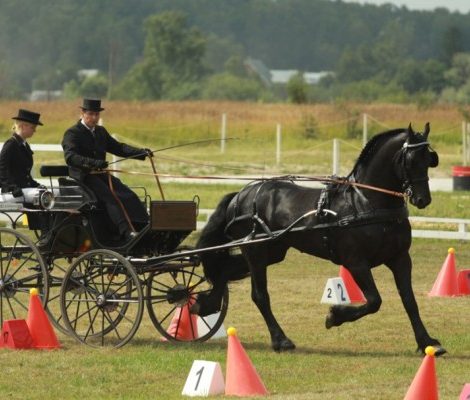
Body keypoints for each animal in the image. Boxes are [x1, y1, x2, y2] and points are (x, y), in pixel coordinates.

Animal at [192, 123, 444, 354]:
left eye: (429, 159)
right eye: (410, 160)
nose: (423, 199)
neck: (366, 202)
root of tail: (241, 194)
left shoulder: (400, 258)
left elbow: (409, 300)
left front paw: (427, 342)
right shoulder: (356, 262)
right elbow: (374, 300)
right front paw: (334, 316)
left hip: (272, 251)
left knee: (224, 270)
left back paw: (204, 304)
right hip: (256, 251)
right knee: (260, 295)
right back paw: (281, 340)